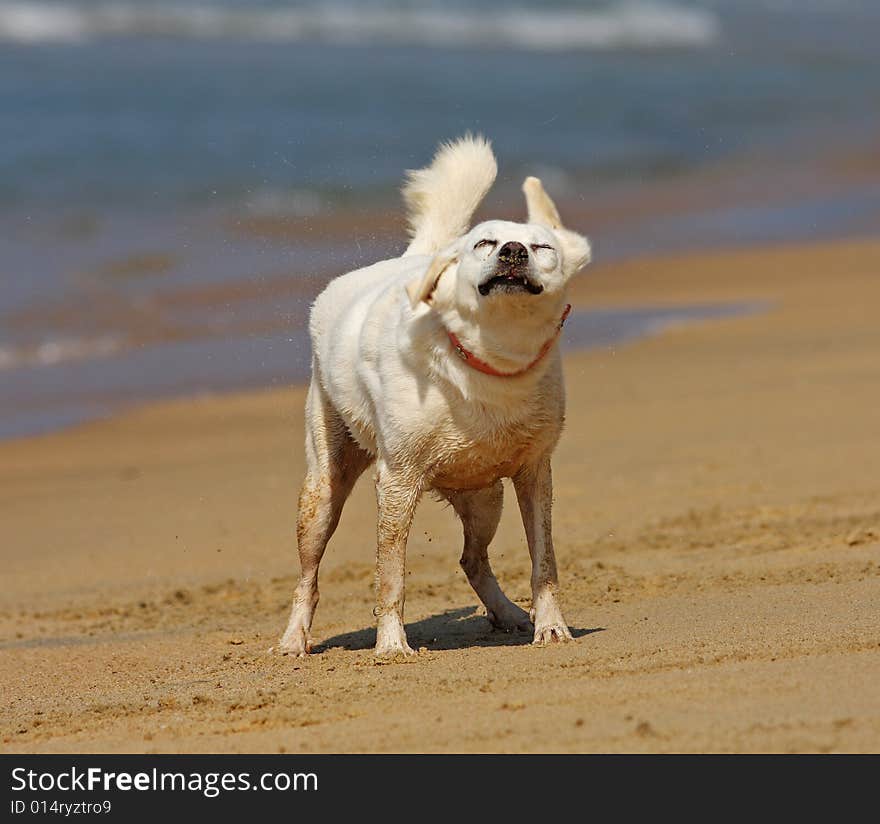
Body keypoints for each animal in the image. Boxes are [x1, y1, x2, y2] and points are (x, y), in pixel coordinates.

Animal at [282, 135, 592, 656]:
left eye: (541, 247)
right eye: (484, 242)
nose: (513, 251)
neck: (492, 360)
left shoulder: (534, 472)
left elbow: (544, 561)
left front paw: (551, 627)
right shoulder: (398, 480)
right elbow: (390, 573)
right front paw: (391, 646)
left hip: (485, 495)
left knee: (472, 558)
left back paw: (510, 614)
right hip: (323, 487)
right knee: (309, 573)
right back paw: (292, 640)